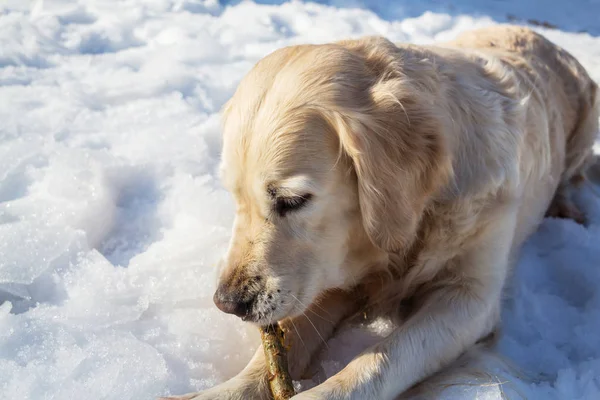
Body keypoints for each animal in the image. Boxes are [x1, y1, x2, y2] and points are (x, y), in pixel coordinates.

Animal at [162, 25, 596, 400]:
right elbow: (284, 338)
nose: (226, 303)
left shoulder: (469, 297)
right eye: (235, 197)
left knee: (573, 174)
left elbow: (386, 358)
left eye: (291, 200)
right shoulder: (330, 275)